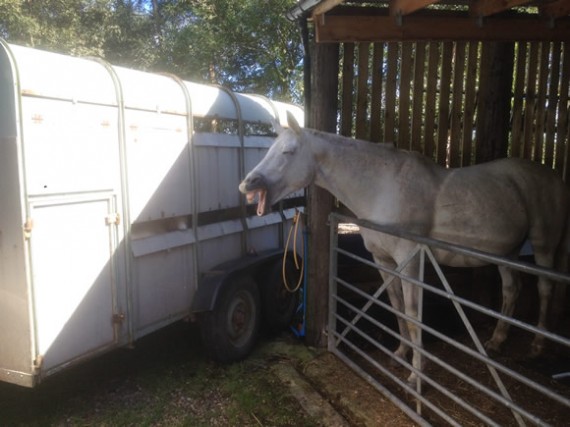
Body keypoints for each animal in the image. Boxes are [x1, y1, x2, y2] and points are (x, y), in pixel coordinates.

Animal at [237, 111, 564, 384]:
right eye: (270, 149)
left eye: (288, 152)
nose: (247, 184)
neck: (383, 188)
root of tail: (550, 175)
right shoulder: (384, 260)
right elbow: (396, 307)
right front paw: (400, 355)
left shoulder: (412, 260)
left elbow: (412, 312)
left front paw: (416, 376)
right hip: (506, 253)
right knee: (512, 289)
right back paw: (496, 341)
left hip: (543, 244)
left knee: (546, 287)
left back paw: (537, 345)